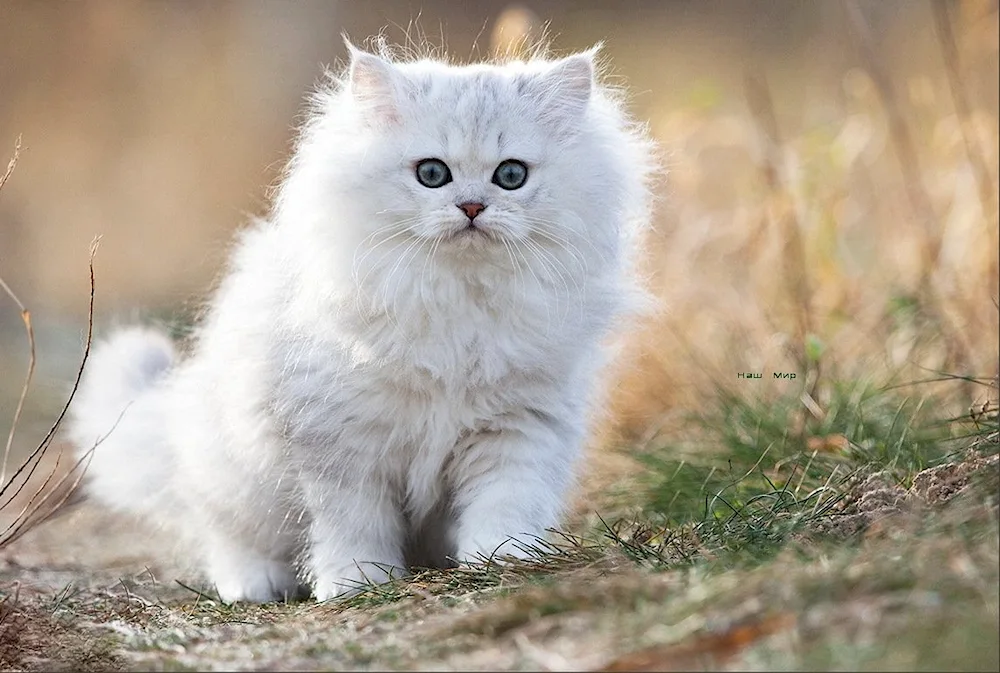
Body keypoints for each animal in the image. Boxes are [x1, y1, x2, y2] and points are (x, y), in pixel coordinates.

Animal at [68, 39, 656, 600]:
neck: (454, 297)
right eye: (432, 174)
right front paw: (359, 583)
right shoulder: (342, 441)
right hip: (233, 473)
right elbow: (353, 526)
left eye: (510, 175)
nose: (471, 208)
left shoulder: (517, 427)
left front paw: (503, 560)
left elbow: (504, 503)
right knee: (226, 537)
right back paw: (255, 586)